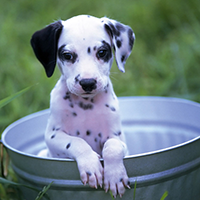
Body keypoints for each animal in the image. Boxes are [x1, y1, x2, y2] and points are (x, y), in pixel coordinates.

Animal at [30, 14, 134, 198]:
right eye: (67, 55)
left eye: (102, 52)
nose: (87, 83)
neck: (86, 106)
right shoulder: (52, 137)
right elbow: (76, 141)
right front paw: (91, 166)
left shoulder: (118, 138)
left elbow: (112, 147)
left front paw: (115, 176)